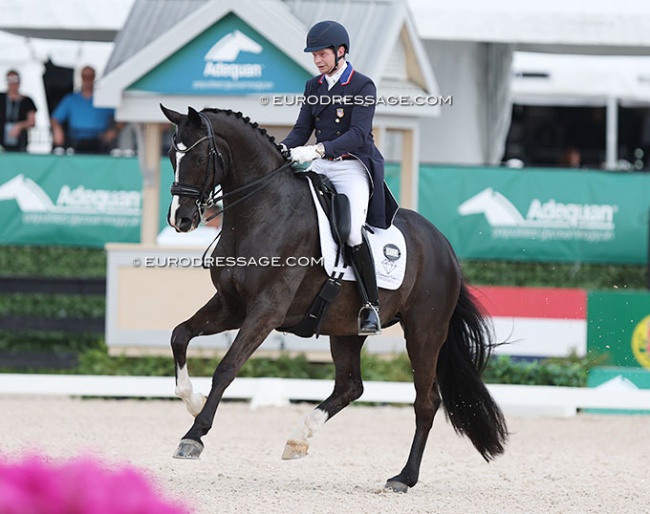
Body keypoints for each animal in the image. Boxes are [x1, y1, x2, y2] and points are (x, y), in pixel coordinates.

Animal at [158, 105, 506, 492]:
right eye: (171, 155)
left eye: (200, 157)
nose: (181, 219)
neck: (262, 211)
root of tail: (444, 246)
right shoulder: (230, 305)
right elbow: (180, 335)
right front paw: (192, 401)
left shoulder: (266, 311)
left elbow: (226, 367)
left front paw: (194, 435)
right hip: (345, 330)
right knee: (351, 386)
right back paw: (299, 438)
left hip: (424, 333)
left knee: (426, 402)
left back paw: (403, 477)